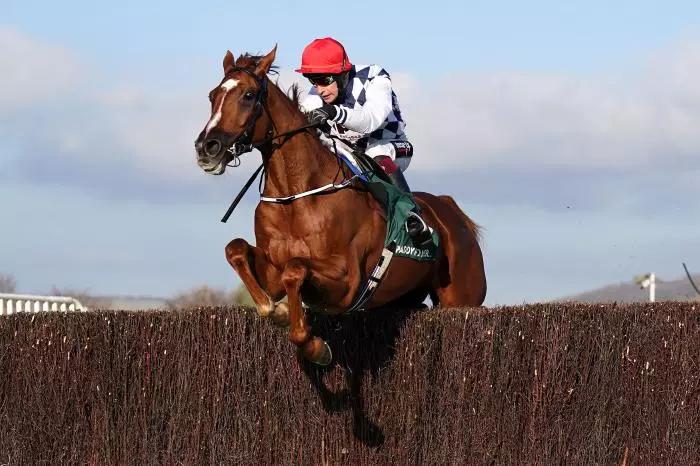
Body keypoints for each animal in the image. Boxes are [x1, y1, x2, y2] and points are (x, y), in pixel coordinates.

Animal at [194, 47, 484, 366]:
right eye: (212, 96)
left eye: (247, 95)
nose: (207, 147)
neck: (294, 197)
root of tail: (450, 209)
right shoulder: (272, 272)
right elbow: (236, 250)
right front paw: (277, 311)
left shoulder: (347, 282)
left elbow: (295, 269)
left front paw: (314, 346)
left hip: (463, 297)